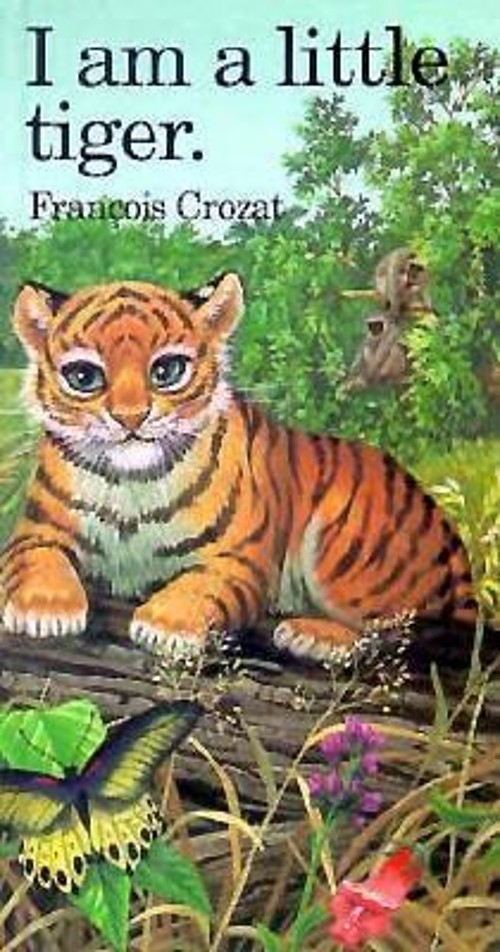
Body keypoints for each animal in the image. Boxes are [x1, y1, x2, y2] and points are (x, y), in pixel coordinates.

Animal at [0, 272, 477, 661]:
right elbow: (34, 560)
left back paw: (313, 635)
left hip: (346, 550)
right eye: (84, 377)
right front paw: (45, 609)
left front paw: (166, 625)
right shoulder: (37, 530)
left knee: (394, 626)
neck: (131, 483)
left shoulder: (241, 559)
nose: (131, 418)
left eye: (167, 371)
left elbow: (202, 583)